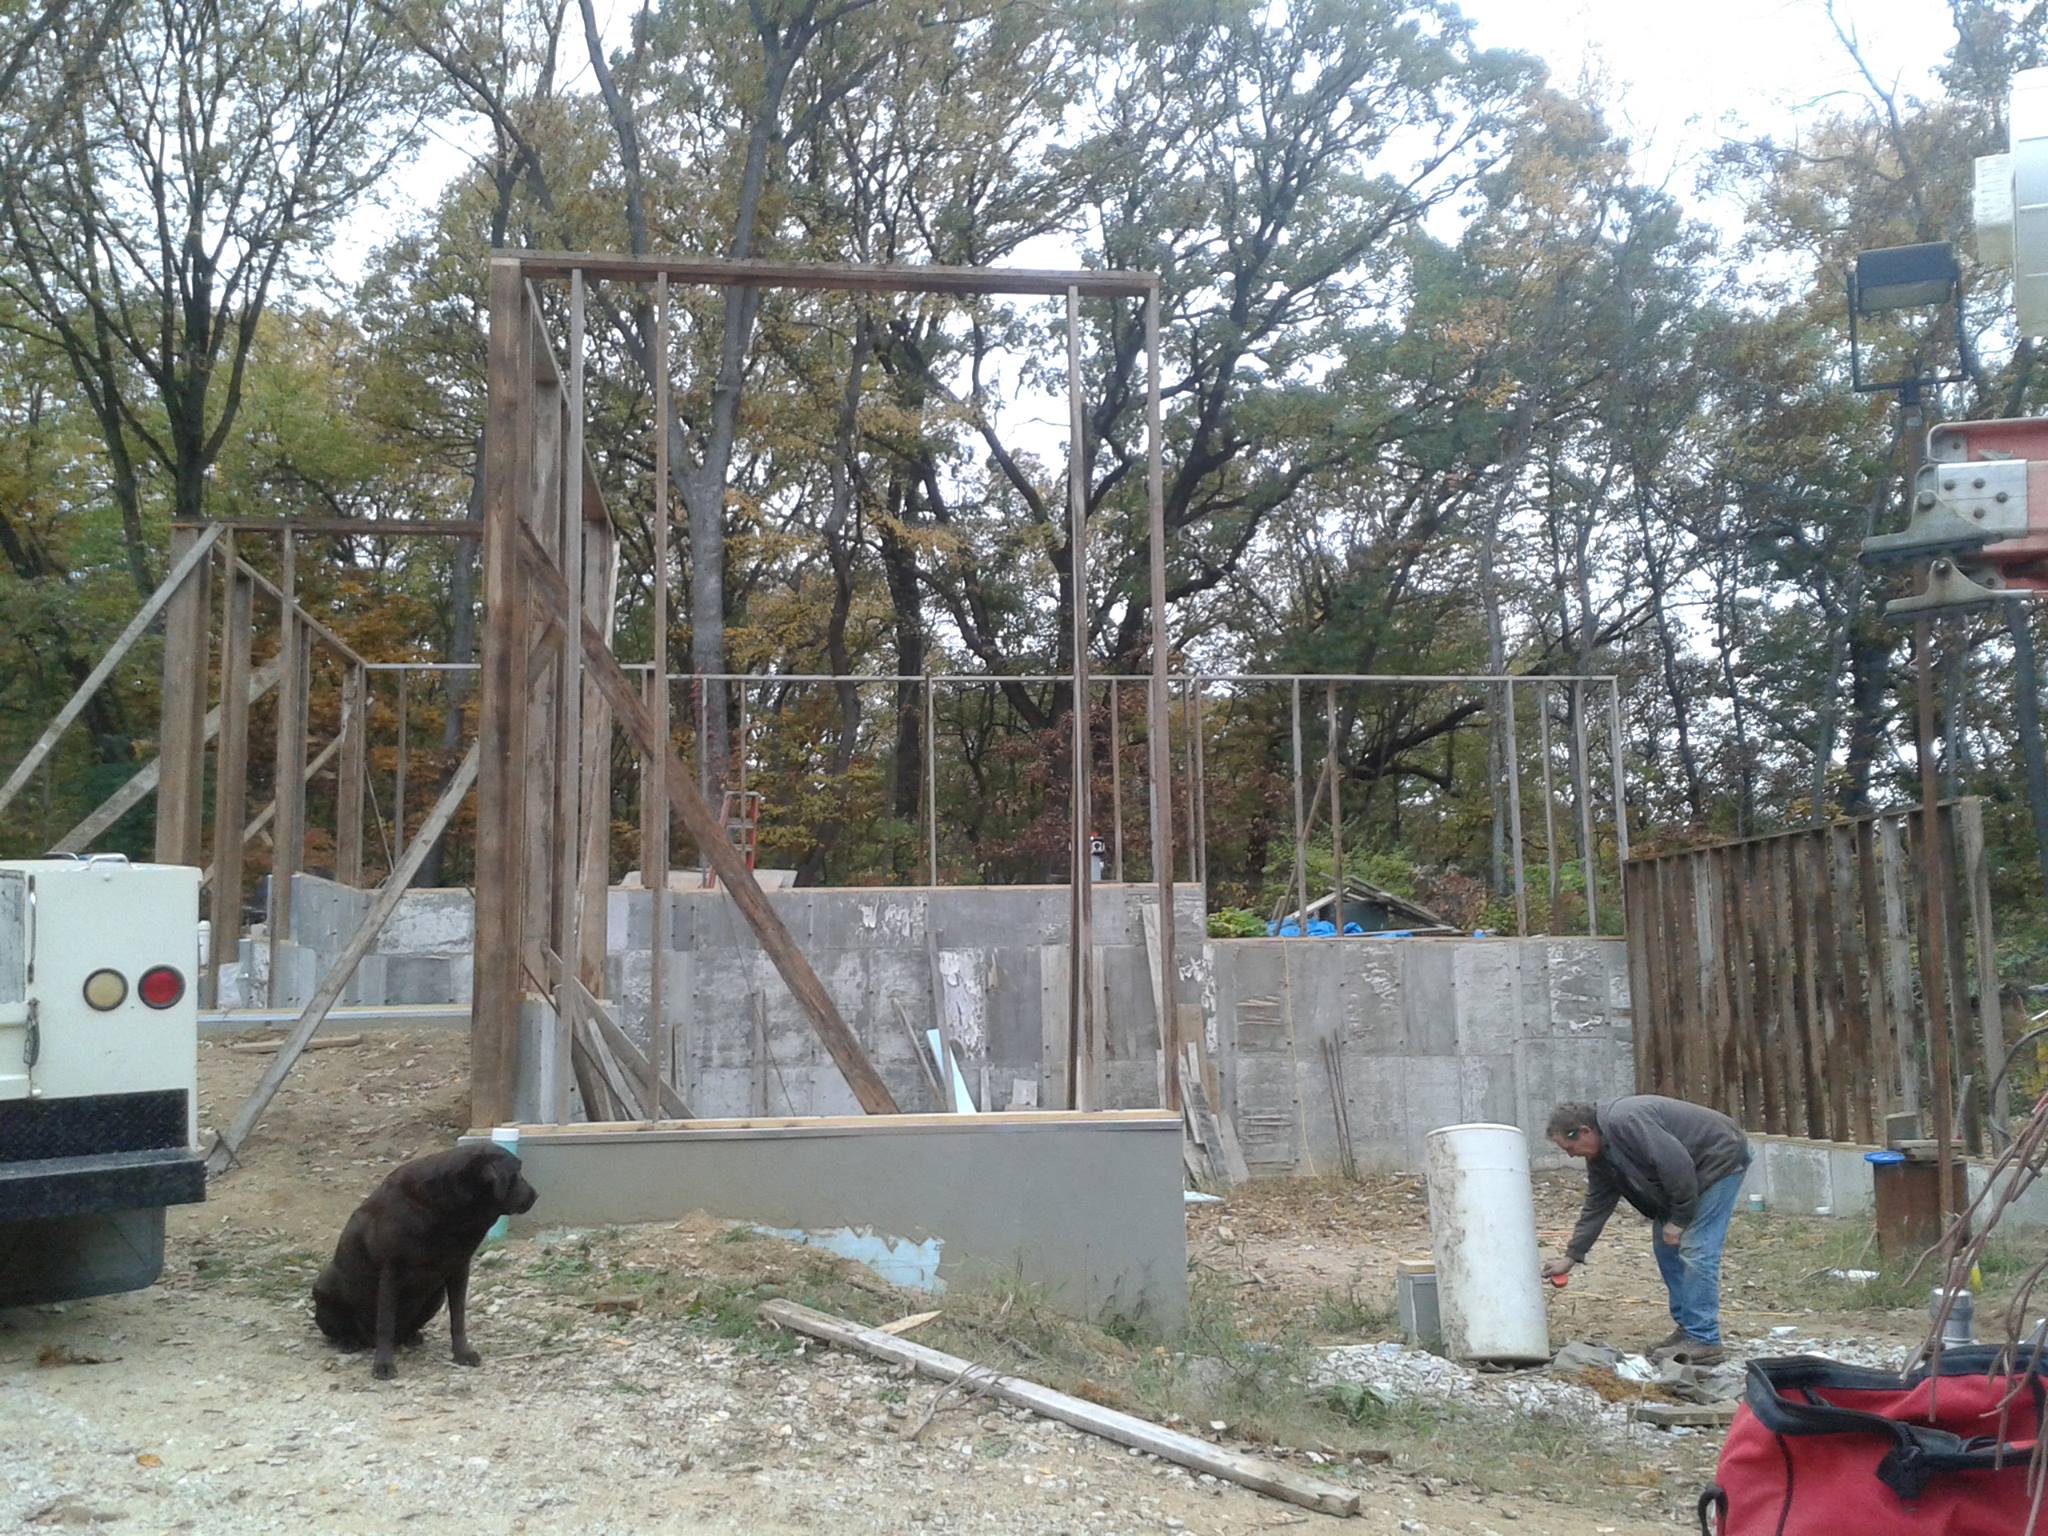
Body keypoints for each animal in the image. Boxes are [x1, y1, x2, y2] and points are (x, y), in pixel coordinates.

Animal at [312, 1142, 537, 1379]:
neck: (448, 1210)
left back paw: (412, 1337)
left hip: (436, 1296)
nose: (536, 1195)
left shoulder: (460, 1268)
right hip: (324, 1288)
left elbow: (458, 1319)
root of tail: (367, 1339)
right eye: (516, 1173)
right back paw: (348, 1341)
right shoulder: (390, 1272)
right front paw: (383, 1364)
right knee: (342, 1331)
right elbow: (385, 1323)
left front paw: (462, 1353)